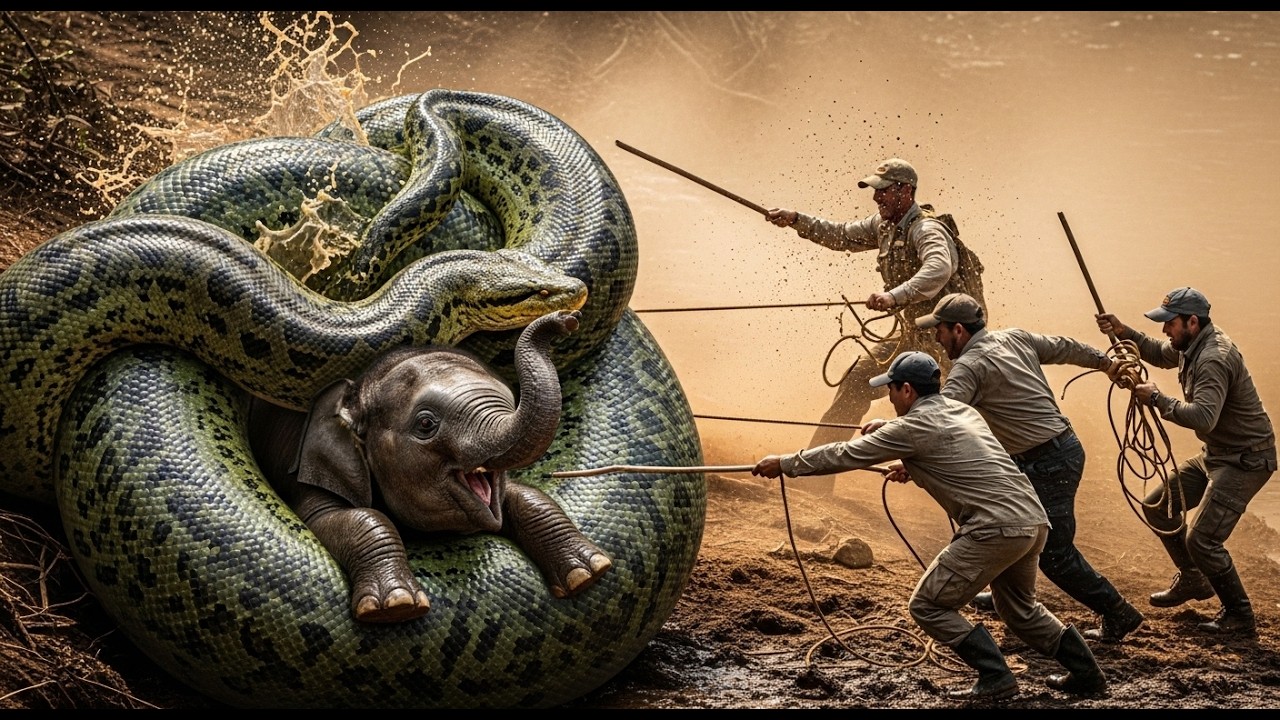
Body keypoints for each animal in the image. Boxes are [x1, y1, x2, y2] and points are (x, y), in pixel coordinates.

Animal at [246, 309, 612, 623]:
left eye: (510, 400)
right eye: (426, 424)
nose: (568, 318)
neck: (357, 389)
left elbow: (525, 496)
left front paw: (590, 572)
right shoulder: (315, 472)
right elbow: (346, 517)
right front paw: (396, 607)